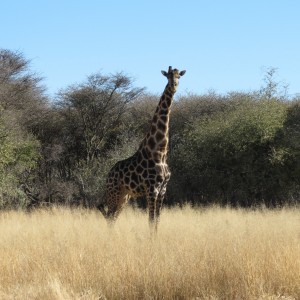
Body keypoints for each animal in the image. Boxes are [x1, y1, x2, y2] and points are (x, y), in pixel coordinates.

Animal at [97, 66, 185, 232]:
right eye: (168, 76)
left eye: (179, 76)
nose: (174, 85)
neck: (160, 152)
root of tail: (108, 174)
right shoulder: (152, 189)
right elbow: (150, 220)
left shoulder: (163, 189)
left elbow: (157, 220)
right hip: (114, 192)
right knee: (109, 216)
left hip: (124, 196)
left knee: (113, 216)